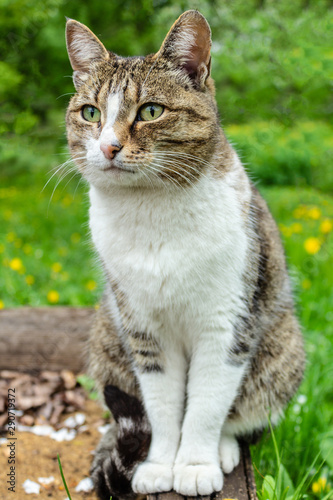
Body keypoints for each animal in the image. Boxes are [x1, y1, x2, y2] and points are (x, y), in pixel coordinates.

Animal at [64, 10, 304, 500]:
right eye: (91, 113)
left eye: (151, 111)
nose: (108, 146)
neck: (152, 211)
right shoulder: (144, 329)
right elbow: (162, 406)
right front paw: (159, 465)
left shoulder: (227, 323)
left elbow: (207, 404)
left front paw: (194, 465)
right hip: (105, 335)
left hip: (283, 347)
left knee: (242, 417)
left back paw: (224, 450)